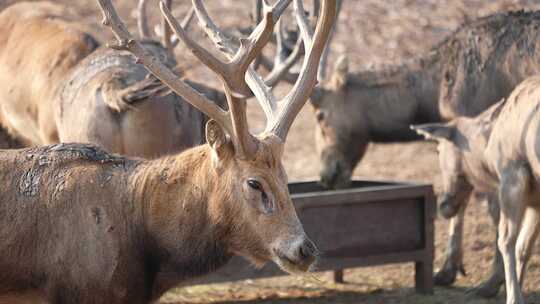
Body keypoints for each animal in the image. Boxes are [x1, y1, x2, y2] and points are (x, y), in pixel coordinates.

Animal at [414, 75, 540, 304]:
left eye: (438, 149)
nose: (443, 205)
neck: (488, 154)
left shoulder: (512, 179)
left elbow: (506, 240)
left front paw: (511, 296)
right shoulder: (536, 199)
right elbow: (523, 248)